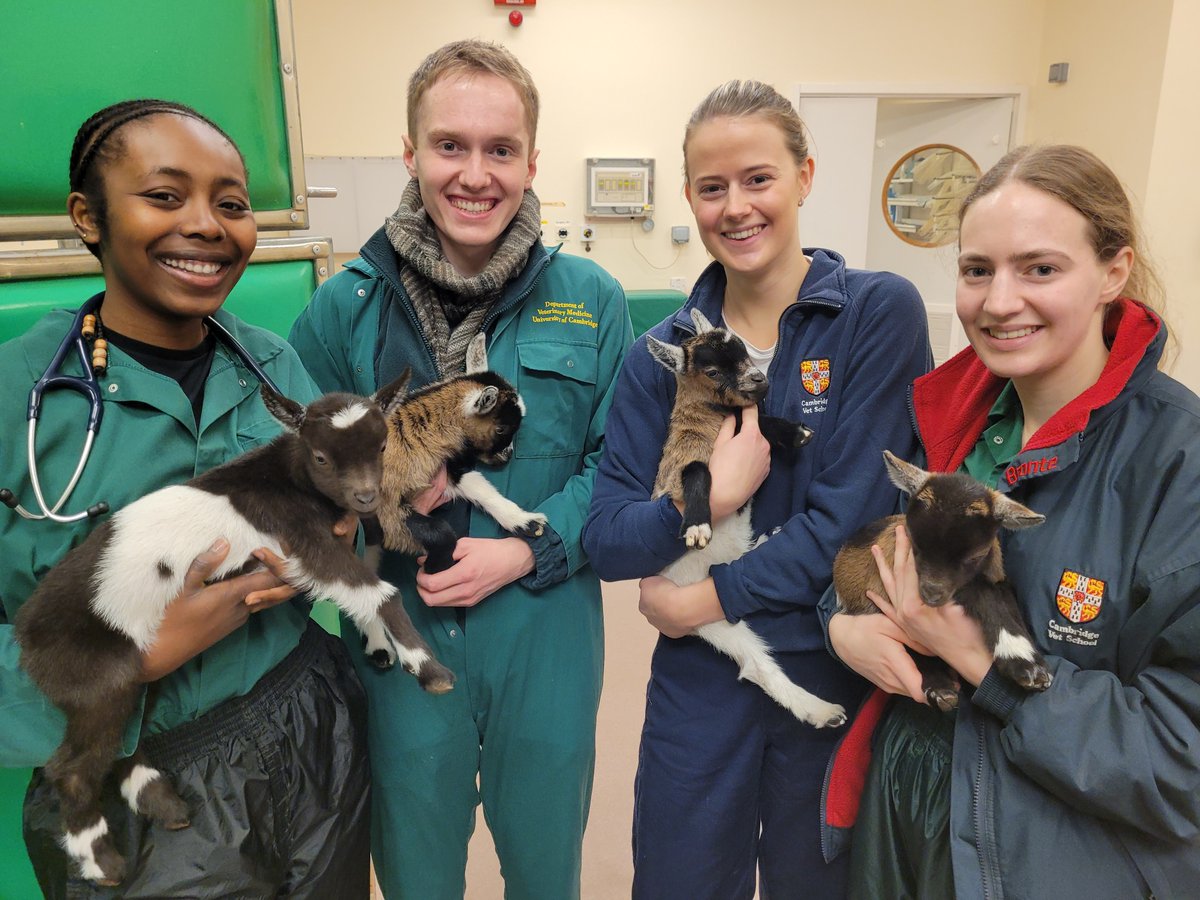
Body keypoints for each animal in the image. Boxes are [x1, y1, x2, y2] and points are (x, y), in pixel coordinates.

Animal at [12, 376, 453, 883]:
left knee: (120, 737)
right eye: (321, 457)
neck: (284, 477)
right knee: (72, 765)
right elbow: (381, 592)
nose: (365, 498)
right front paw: (429, 670)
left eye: (381, 446)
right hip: (95, 675)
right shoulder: (299, 539)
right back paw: (102, 860)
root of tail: (25, 635)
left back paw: (160, 802)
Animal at [652, 309, 849, 734]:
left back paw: (823, 711)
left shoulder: (744, 423)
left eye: (742, 349)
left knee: (759, 666)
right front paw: (697, 527)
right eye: (711, 371)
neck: (710, 414)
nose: (758, 379)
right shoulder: (682, 465)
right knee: (758, 666)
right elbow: (699, 472)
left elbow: (757, 422)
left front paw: (797, 432)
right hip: (716, 622)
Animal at [835, 451, 1051, 710]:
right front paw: (1023, 661)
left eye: (974, 556)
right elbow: (983, 593)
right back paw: (941, 691)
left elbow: (1004, 599)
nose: (931, 595)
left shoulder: (995, 578)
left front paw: (1030, 664)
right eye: (915, 544)